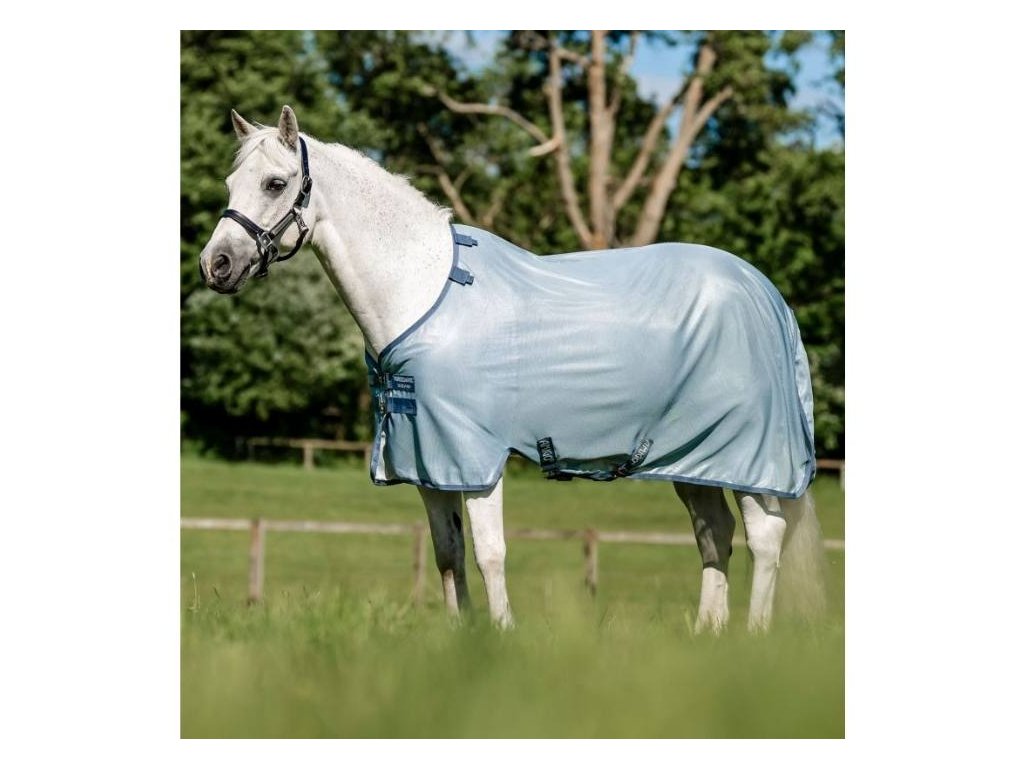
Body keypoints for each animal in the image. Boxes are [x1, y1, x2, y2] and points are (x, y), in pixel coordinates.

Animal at [198, 105, 826, 633]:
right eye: (231, 184)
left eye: (275, 183)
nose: (215, 265)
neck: (425, 291)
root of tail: (765, 293)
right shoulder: (430, 462)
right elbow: (447, 552)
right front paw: (460, 637)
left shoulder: (475, 457)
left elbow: (489, 552)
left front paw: (501, 638)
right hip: (693, 459)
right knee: (714, 534)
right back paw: (707, 635)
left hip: (748, 457)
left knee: (764, 537)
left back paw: (752, 637)